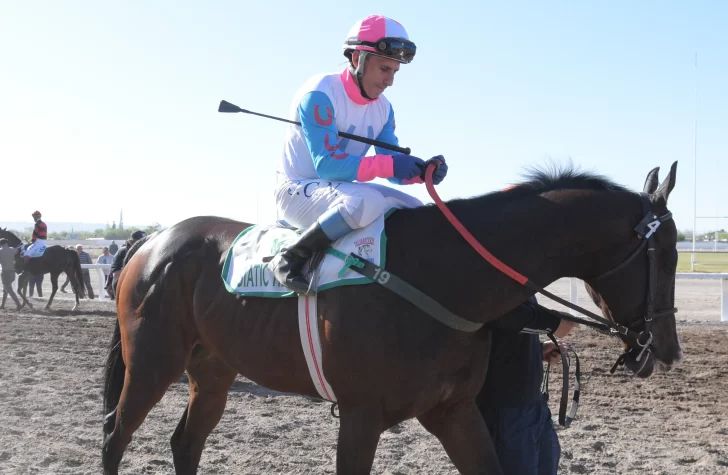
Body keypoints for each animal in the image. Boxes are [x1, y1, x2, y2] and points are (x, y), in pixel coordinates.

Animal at [101, 162, 684, 474]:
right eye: (668, 255)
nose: (667, 350)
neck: (442, 276)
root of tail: (151, 241)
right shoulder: (360, 416)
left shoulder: (453, 410)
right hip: (152, 364)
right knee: (114, 435)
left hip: (212, 370)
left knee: (185, 442)